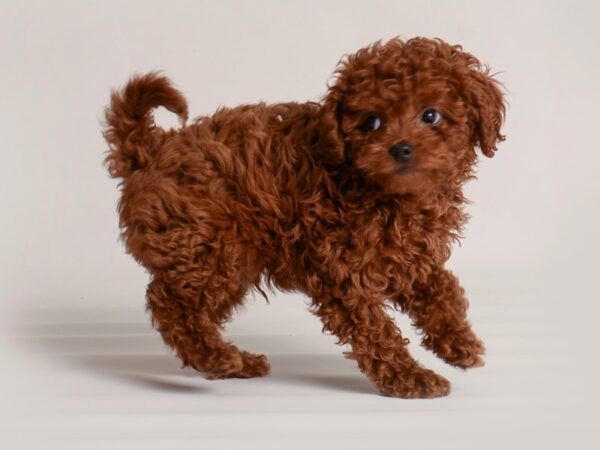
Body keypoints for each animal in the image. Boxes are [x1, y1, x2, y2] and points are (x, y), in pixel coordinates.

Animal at [104, 37, 506, 398]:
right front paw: (409, 377)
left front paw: (459, 342)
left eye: (431, 115)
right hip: (209, 243)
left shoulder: (407, 254)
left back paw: (236, 361)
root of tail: (151, 150)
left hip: (230, 256)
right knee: (170, 303)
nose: (401, 149)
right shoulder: (342, 269)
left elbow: (441, 289)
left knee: (196, 307)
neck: (388, 193)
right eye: (371, 122)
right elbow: (375, 328)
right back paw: (216, 357)